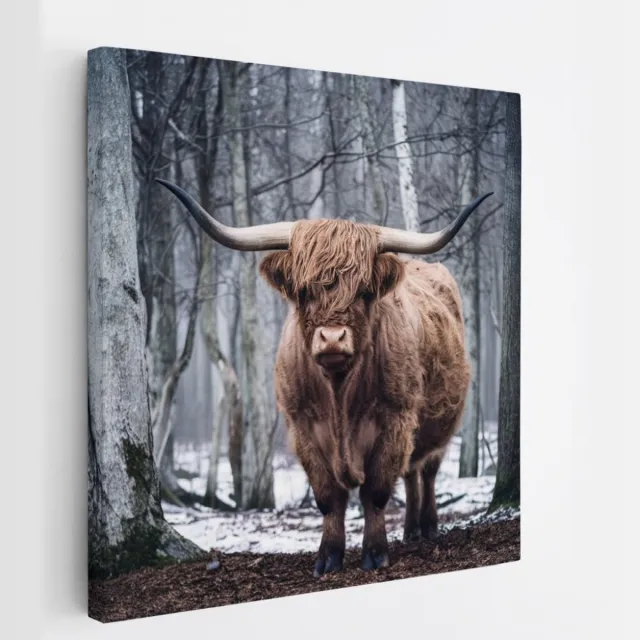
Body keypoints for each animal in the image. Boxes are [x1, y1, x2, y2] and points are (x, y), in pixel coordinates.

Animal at [157, 178, 492, 576]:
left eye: (364, 291)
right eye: (303, 291)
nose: (332, 338)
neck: (339, 394)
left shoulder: (395, 420)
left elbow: (376, 491)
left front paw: (375, 553)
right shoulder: (303, 426)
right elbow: (328, 497)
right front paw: (328, 557)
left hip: (440, 423)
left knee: (425, 471)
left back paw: (426, 526)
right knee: (411, 472)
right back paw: (410, 529)